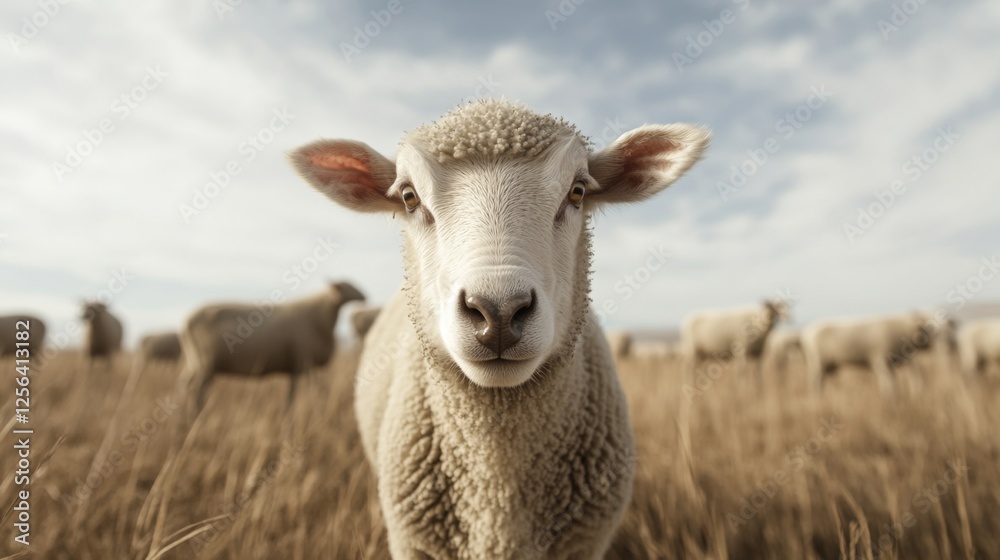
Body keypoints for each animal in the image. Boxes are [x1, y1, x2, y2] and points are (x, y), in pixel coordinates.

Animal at [177, 281, 364, 413]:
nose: (364, 296)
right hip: (205, 362)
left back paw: (184, 414)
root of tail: (185, 322)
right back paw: (197, 414)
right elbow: (309, 392)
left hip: (194, 360)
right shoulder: (303, 362)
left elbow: (293, 396)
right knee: (197, 389)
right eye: (348, 285)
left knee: (186, 383)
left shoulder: (295, 368)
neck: (320, 314)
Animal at [800, 310, 952, 394]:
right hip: (817, 362)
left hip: (830, 365)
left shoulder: (893, 364)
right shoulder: (881, 361)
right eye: (929, 328)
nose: (945, 342)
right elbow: (887, 385)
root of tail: (807, 333)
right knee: (815, 382)